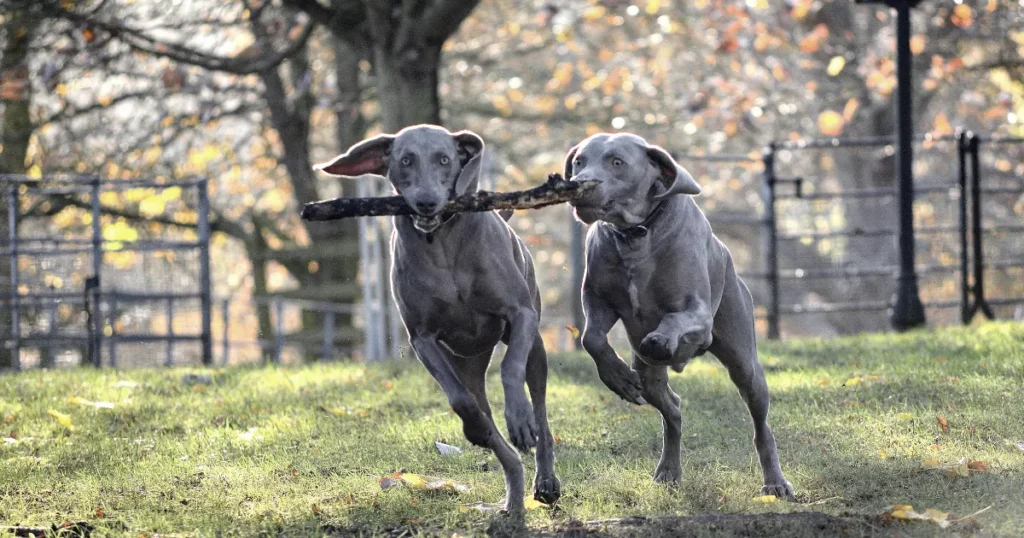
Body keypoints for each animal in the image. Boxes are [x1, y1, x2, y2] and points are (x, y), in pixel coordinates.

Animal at [317, 122, 565, 512]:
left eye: (444, 159)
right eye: (405, 160)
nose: (426, 201)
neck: (442, 242)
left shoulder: (520, 314)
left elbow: (510, 367)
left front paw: (519, 418)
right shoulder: (422, 338)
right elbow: (460, 401)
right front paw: (478, 428)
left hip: (535, 346)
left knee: (539, 404)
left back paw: (544, 478)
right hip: (468, 364)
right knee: (486, 419)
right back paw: (511, 494)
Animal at [565, 132, 794, 498]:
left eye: (617, 162)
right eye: (578, 161)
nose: (579, 185)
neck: (636, 235)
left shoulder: (697, 312)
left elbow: (675, 319)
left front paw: (660, 339)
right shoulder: (598, 300)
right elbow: (592, 337)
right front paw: (617, 376)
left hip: (745, 362)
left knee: (760, 425)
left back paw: (775, 481)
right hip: (650, 380)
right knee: (672, 408)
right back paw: (668, 469)